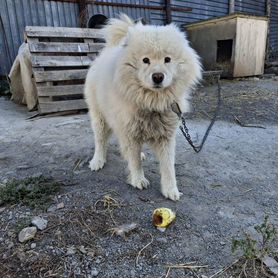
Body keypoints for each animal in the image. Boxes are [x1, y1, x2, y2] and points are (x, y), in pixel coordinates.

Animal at [83, 14, 201, 200]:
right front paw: (138, 180)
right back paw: (97, 161)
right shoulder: (130, 132)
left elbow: (168, 167)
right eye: (146, 60)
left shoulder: (165, 137)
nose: (158, 76)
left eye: (167, 59)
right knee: (100, 140)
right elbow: (134, 161)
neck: (151, 102)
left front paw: (170, 190)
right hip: (100, 118)